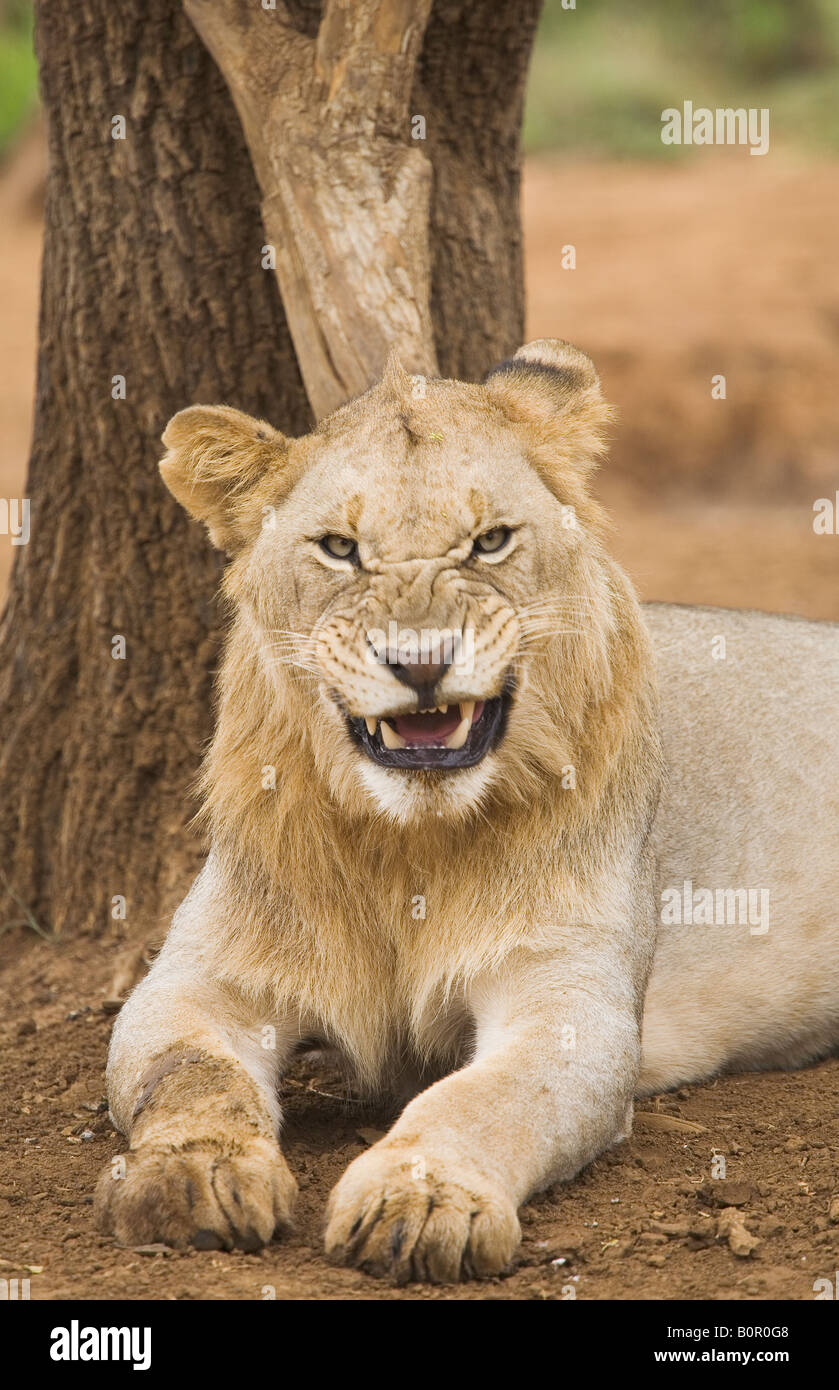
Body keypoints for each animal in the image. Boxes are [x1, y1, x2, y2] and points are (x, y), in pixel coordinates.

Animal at [95, 340, 839, 1282]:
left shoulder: (566, 997)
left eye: (489, 542)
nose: (420, 661)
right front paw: (192, 1174)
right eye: (339, 549)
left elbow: (486, 1098)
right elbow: (189, 1072)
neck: (407, 847)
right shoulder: (202, 979)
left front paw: (421, 1200)